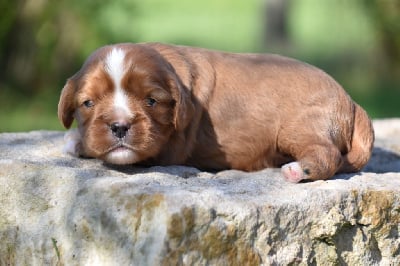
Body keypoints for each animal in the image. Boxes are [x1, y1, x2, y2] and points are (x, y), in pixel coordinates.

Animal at [57, 42, 374, 183]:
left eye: (151, 101)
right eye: (88, 103)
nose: (120, 126)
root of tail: (352, 101)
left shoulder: (170, 147)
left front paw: (76, 142)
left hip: (300, 127)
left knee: (328, 154)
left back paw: (297, 170)